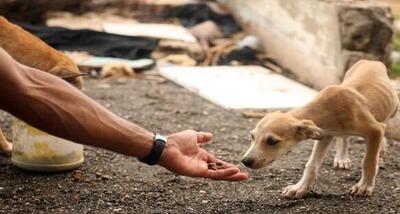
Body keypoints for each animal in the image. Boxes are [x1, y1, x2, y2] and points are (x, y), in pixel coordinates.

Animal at [242, 59, 398, 198]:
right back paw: (342, 158)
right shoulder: (325, 135)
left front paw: (364, 186)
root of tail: (371, 61)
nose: (245, 161)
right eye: (252, 136)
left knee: (384, 123)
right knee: (344, 138)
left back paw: (381, 148)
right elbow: (311, 165)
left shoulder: (375, 130)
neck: (327, 108)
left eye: (272, 141)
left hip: (394, 107)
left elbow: (368, 162)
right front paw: (299, 188)